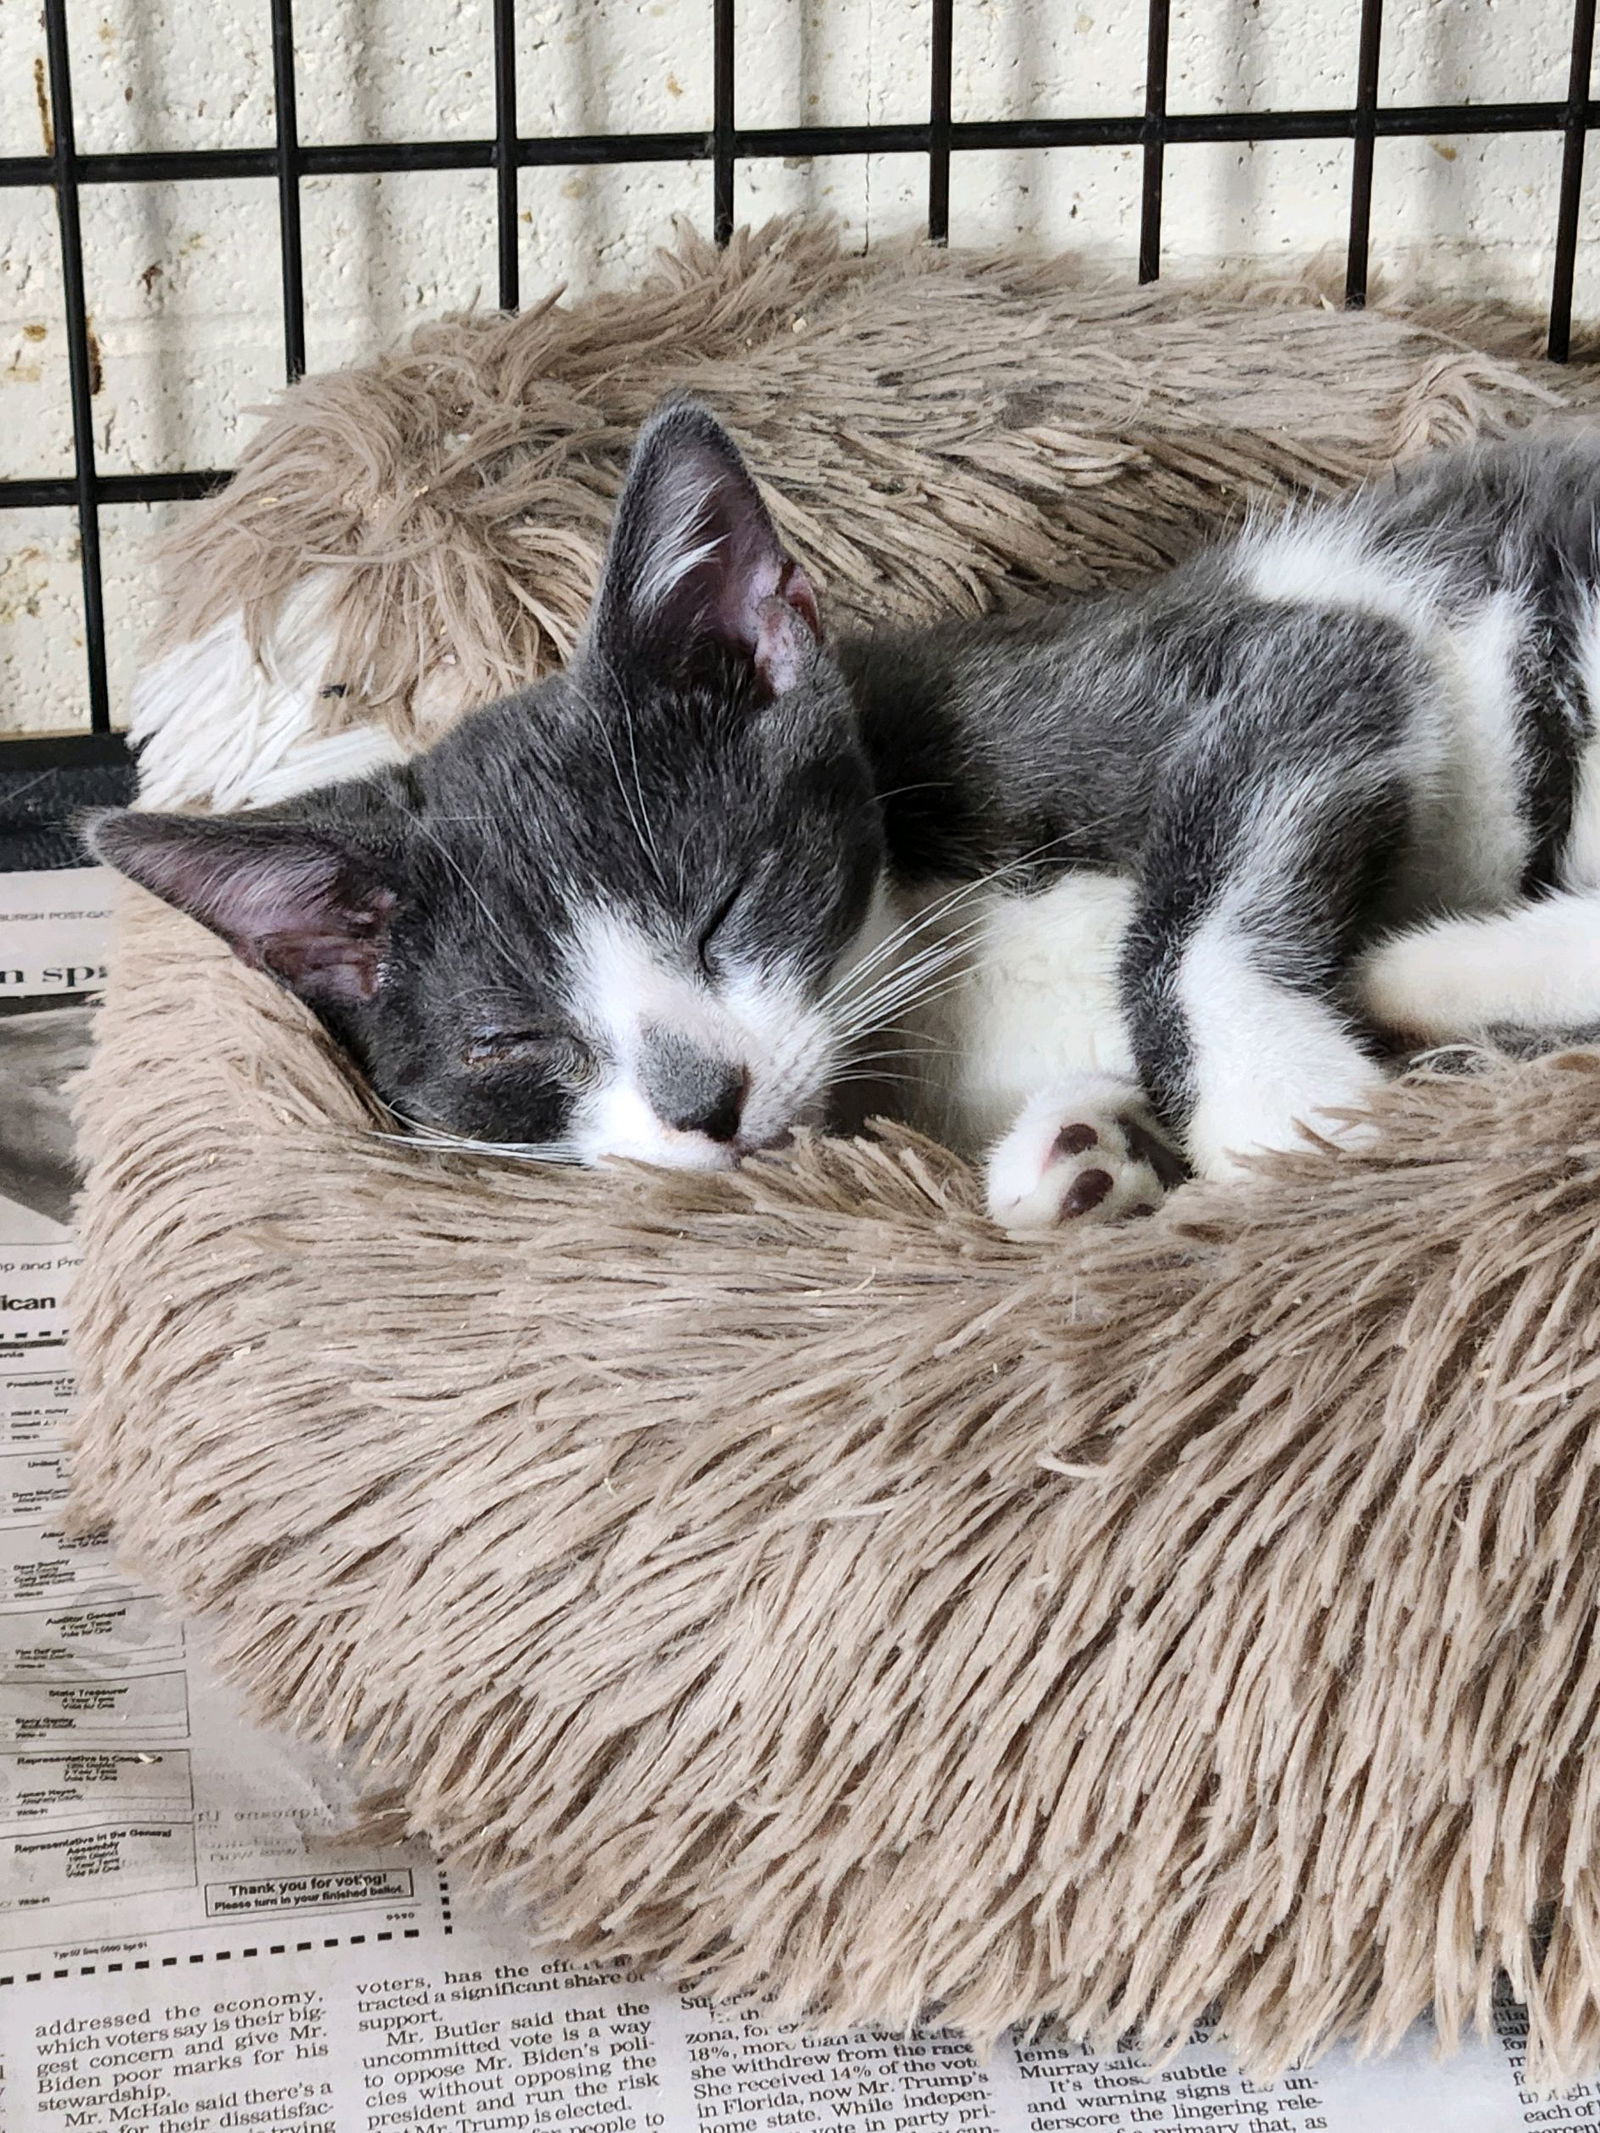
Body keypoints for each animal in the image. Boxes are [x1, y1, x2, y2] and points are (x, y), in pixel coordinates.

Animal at [90, 401, 1600, 1228]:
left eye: (725, 906)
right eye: (511, 1041)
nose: (705, 1103)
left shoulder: (1301, 654)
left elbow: (1195, 906)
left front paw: (1279, 1111)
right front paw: (1089, 1149)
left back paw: (1424, 969)